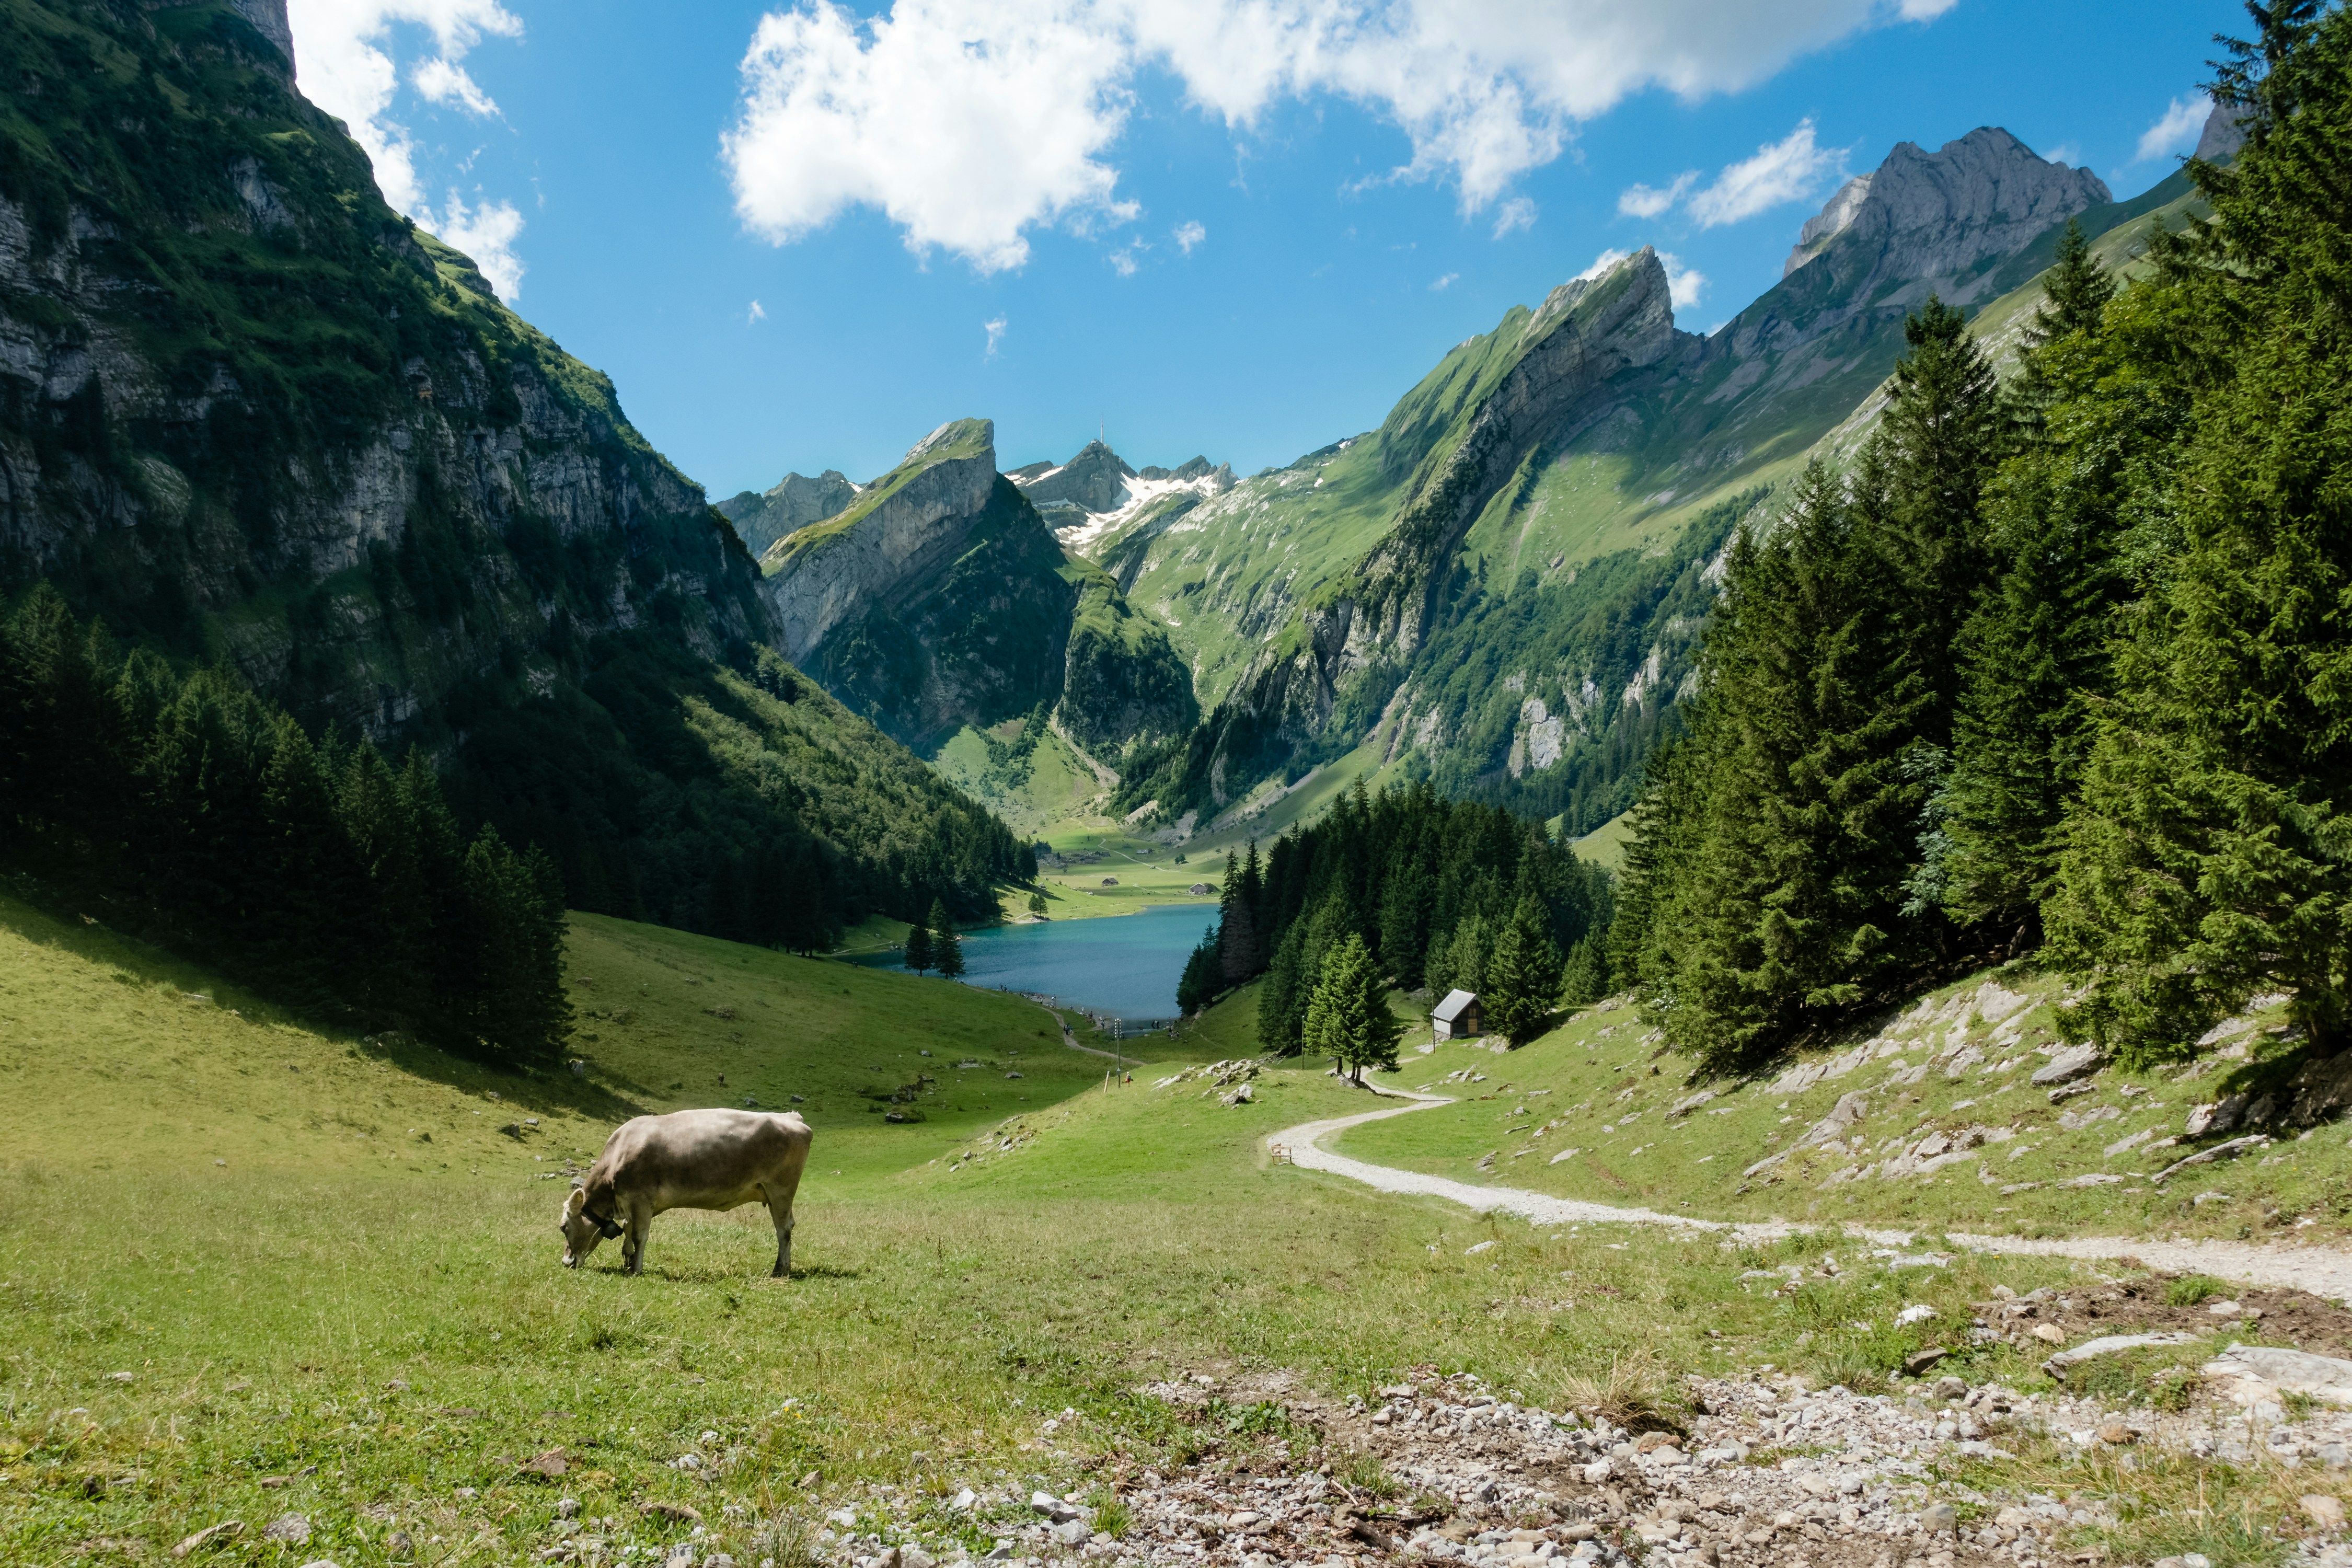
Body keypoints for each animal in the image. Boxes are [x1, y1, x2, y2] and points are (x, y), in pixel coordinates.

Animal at [559, 1108, 812, 1278]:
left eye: (563, 1227)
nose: (566, 1262)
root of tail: (792, 1117)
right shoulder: (632, 1204)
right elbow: (629, 1231)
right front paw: (628, 1260)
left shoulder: (641, 1200)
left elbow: (640, 1236)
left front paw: (636, 1269)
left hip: (781, 1190)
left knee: (784, 1229)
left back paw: (780, 1269)